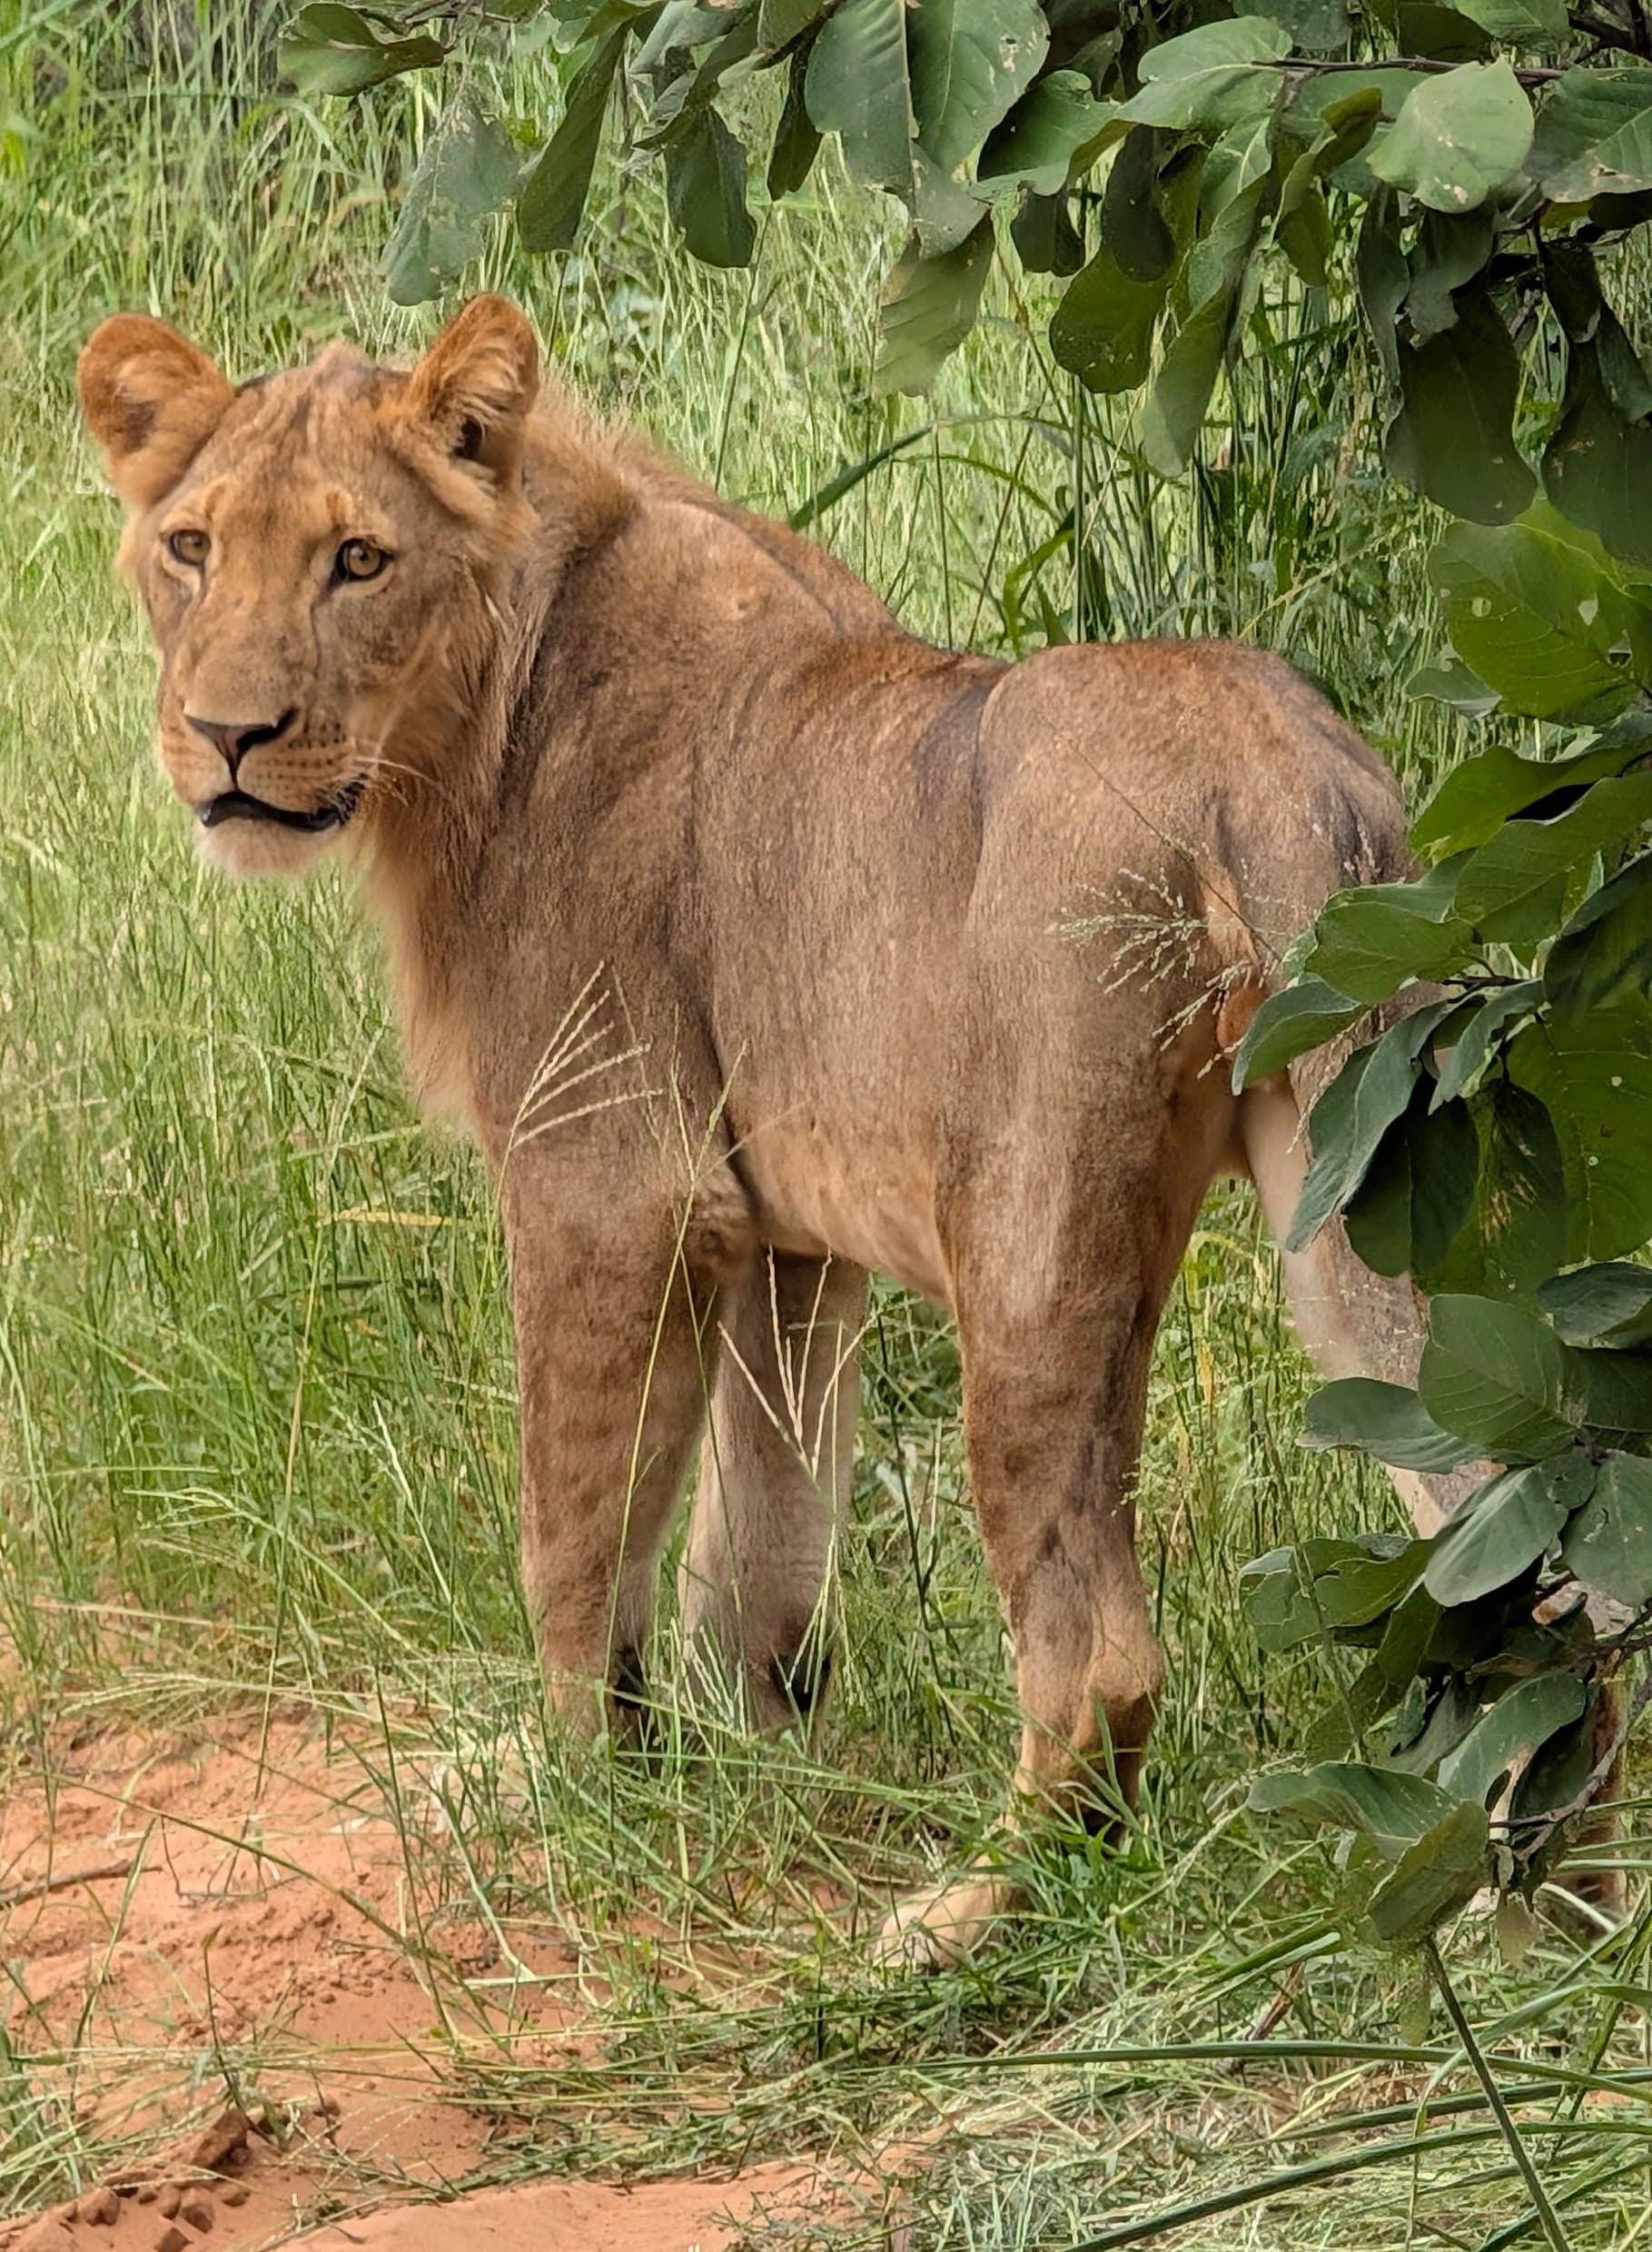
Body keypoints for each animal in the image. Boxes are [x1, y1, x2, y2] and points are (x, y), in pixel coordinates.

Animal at [79, 295, 1461, 1963]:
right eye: (193, 547)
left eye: (357, 558)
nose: (227, 734)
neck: (467, 727)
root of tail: (1263, 760)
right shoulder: (785, 1233)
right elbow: (758, 1535)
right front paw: (747, 1762)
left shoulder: (612, 1176)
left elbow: (574, 1523)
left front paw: (572, 1787)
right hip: (1356, 1193)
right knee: (1518, 1546)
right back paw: (1540, 1909)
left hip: (1028, 1225)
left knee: (1099, 1652)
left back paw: (969, 1908)